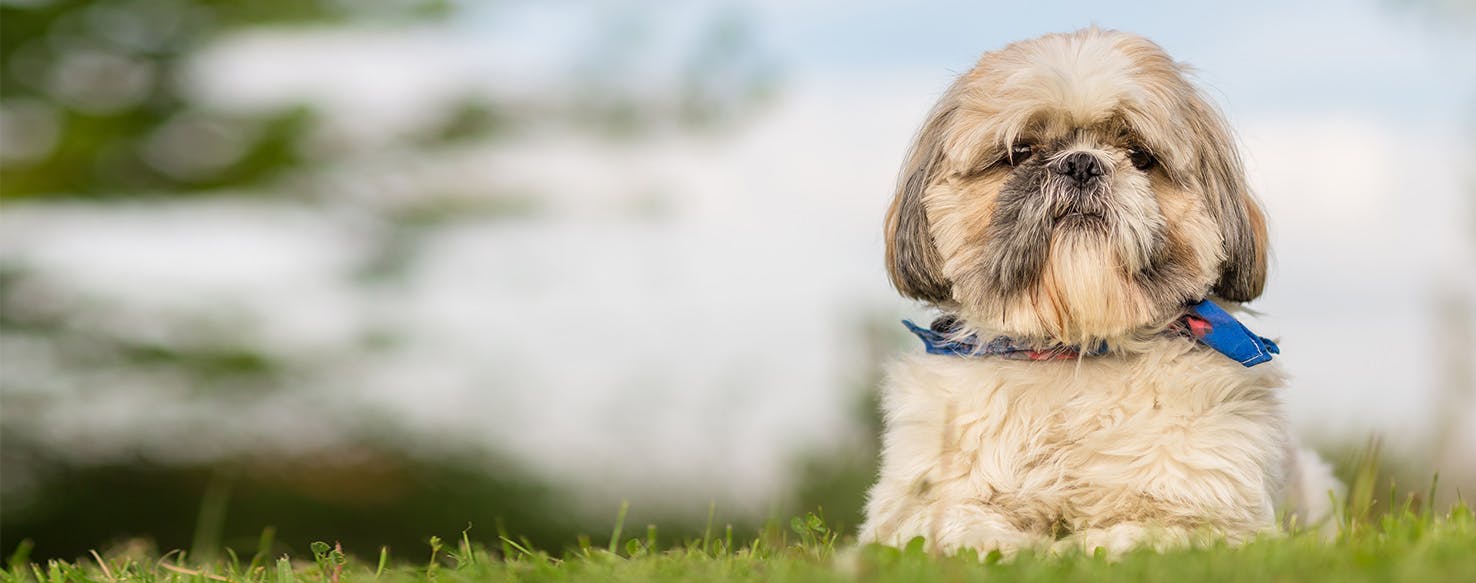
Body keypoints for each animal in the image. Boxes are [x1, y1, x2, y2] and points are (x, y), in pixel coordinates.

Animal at [861, 28, 1346, 557]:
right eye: (1020, 151)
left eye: (1141, 157)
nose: (1081, 164)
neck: (1073, 353)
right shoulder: (917, 507)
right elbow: (961, 531)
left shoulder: (1215, 518)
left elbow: (1132, 536)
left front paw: (1071, 549)